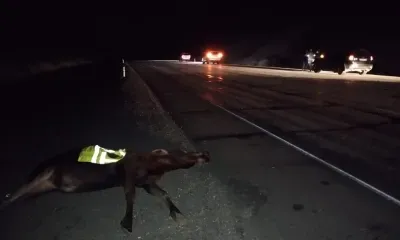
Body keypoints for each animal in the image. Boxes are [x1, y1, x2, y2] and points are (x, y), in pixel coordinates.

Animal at [0, 146, 211, 232]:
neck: (154, 166)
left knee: (22, 195)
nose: (205, 154)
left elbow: (163, 193)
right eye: (184, 151)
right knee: (13, 195)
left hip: (42, 185)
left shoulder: (145, 182)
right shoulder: (129, 174)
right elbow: (130, 196)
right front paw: (127, 222)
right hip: (44, 173)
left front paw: (177, 212)